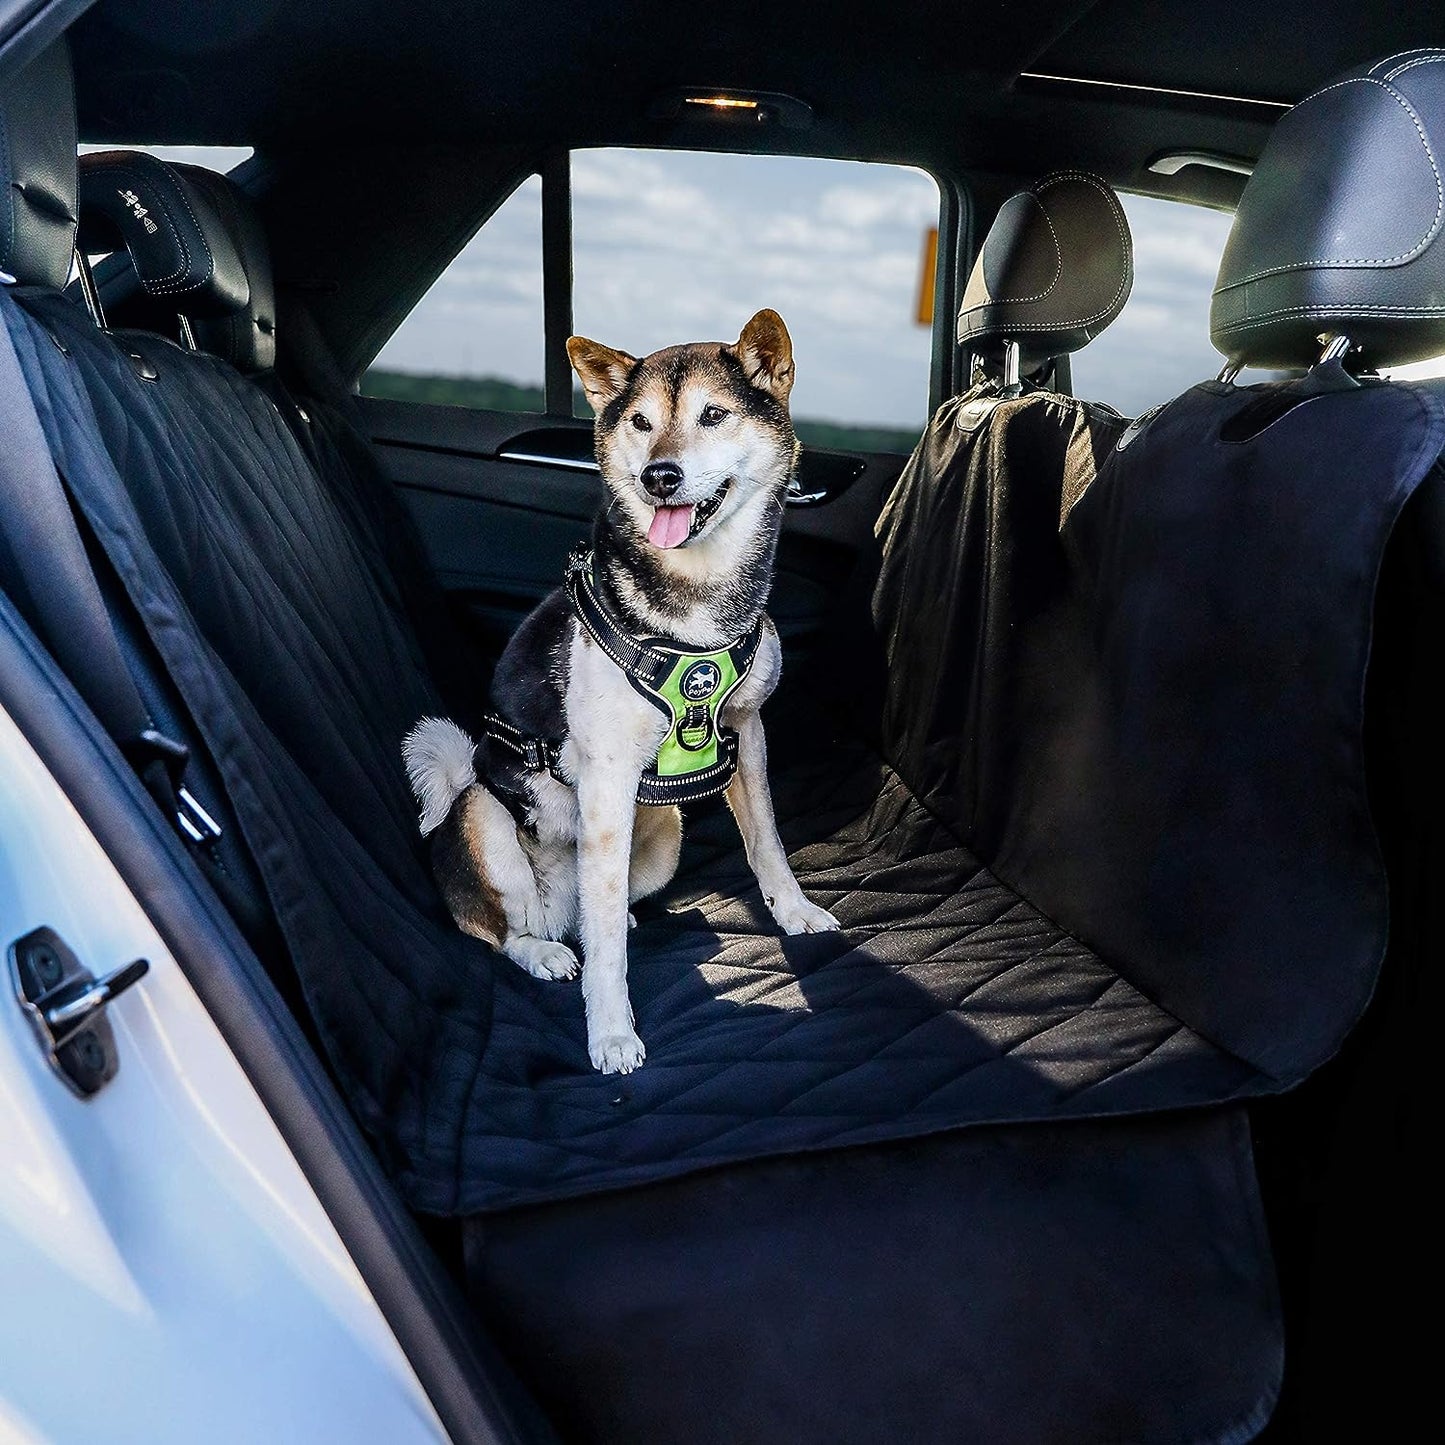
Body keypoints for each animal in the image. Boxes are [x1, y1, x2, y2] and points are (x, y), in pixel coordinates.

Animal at [404, 307, 838, 1075]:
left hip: (664, 828)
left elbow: (767, 841)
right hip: (484, 814)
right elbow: (604, 948)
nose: (658, 475)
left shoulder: (747, 730)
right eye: (639, 422)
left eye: (713, 415)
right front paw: (610, 1032)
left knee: (588, 911)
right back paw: (546, 951)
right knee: (508, 930)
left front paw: (794, 912)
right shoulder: (606, 777)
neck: (698, 601)